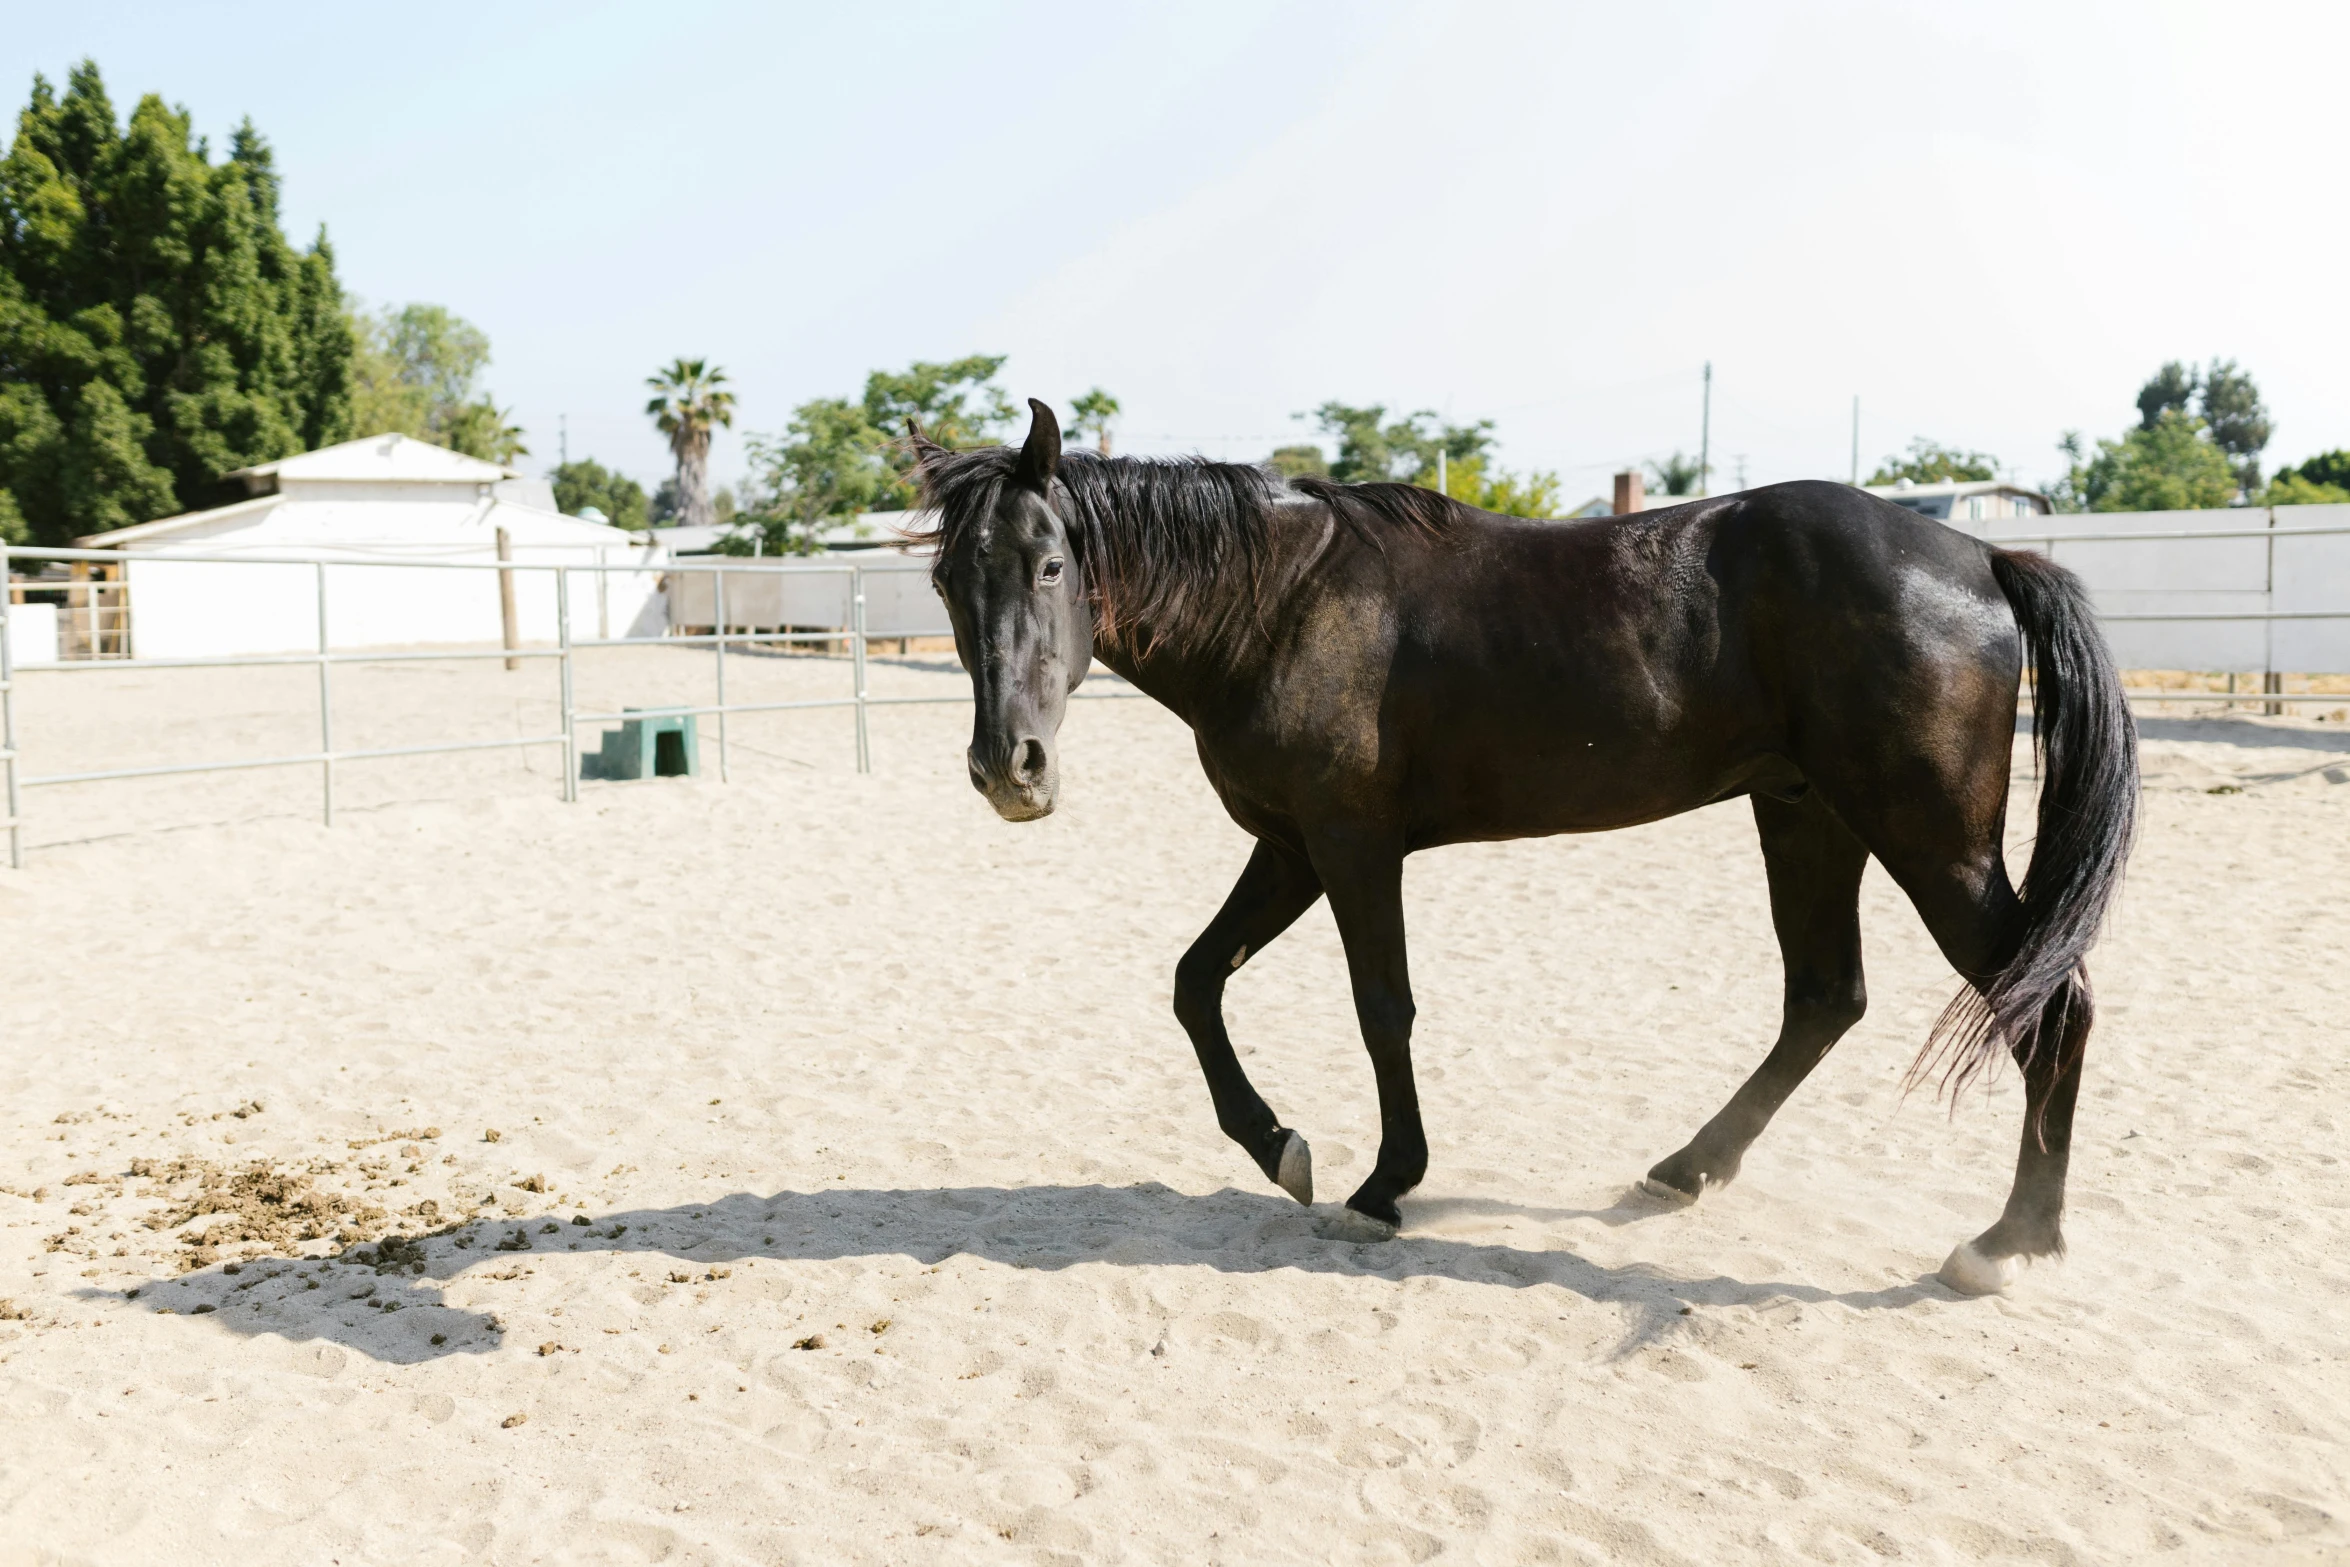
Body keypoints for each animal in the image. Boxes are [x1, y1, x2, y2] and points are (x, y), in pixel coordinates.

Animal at [911, 404, 2133, 1296]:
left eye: (1052, 564)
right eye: (944, 579)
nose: (1009, 768)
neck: (1284, 602)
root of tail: (1979, 553)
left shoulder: (1352, 846)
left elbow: (1381, 1009)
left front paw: (1381, 1185)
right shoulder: (1290, 848)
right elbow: (1194, 982)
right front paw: (1279, 1147)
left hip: (1927, 835)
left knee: (2049, 1004)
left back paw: (2006, 1242)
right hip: (1806, 814)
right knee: (1826, 998)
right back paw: (1684, 1172)